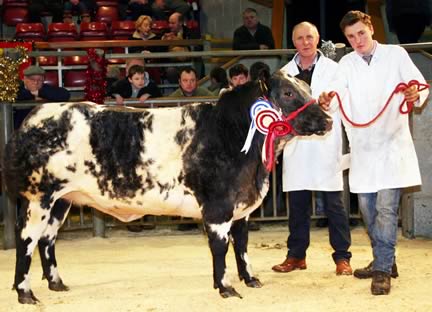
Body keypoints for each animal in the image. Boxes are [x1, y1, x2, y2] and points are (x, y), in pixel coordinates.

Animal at [3, 69, 330, 304]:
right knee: (27, 239)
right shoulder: (218, 206)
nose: (327, 119)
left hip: (62, 199)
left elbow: (242, 245)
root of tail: (33, 117)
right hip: (38, 197)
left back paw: (56, 283)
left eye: (308, 89)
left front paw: (250, 279)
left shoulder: (242, 206)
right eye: (288, 92)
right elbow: (220, 247)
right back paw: (25, 293)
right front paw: (225, 287)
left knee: (47, 240)